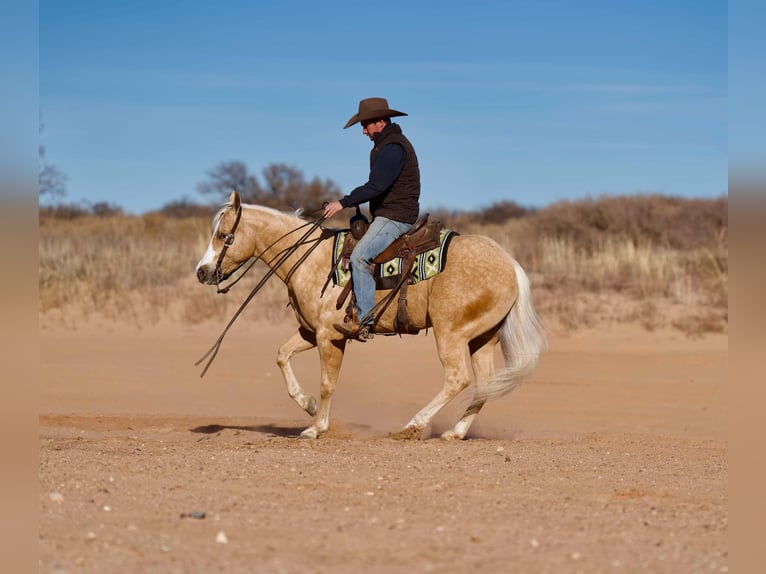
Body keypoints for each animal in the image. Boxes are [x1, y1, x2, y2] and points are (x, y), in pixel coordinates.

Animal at [196, 194, 544, 440]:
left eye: (225, 236)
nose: (202, 272)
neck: (310, 259)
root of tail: (510, 264)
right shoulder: (310, 332)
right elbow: (282, 356)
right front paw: (307, 406)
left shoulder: (329, 336)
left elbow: (327, 383)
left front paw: (316, 428)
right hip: (482, 338)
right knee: (485, 384)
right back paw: (454, 433)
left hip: (452, 334)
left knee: (458, 379)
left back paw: (412, 426)